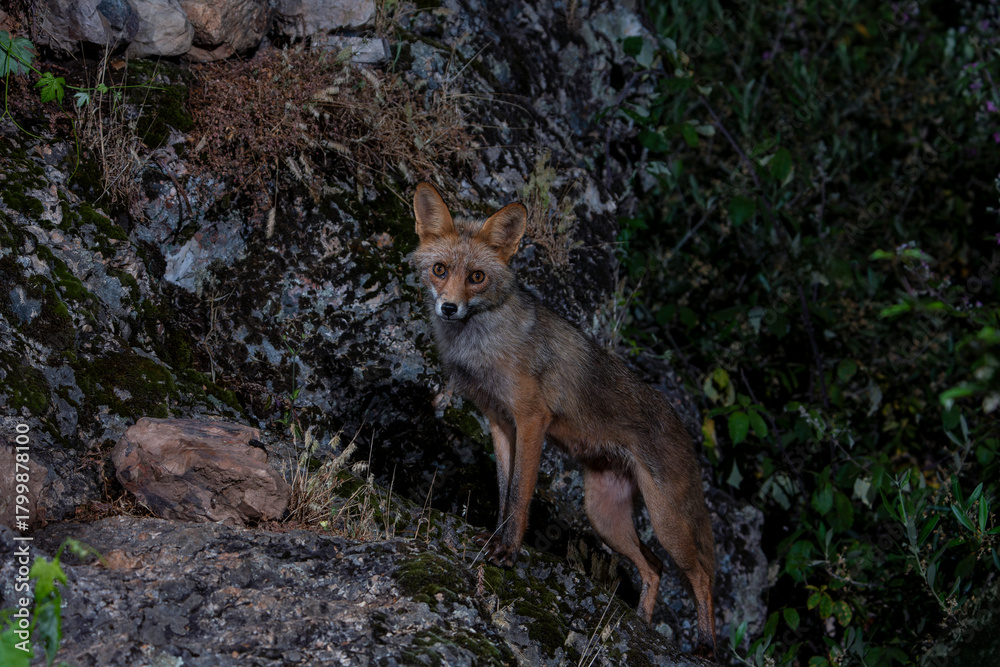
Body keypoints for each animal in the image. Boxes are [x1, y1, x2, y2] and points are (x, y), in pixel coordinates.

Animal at [412, 182, 717, 658]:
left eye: (477, 277)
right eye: (440, 270)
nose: (448, 308)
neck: (483, 347)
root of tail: (685, 428)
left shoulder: (531, 420)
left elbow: (520, 496)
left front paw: (508, 554)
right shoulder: (500, 424)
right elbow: (504, 492)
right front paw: (495, 542)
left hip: (667, 521)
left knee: (700, 574)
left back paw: (705, 645)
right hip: (604, 516)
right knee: (654, 568)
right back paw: (643, 625)